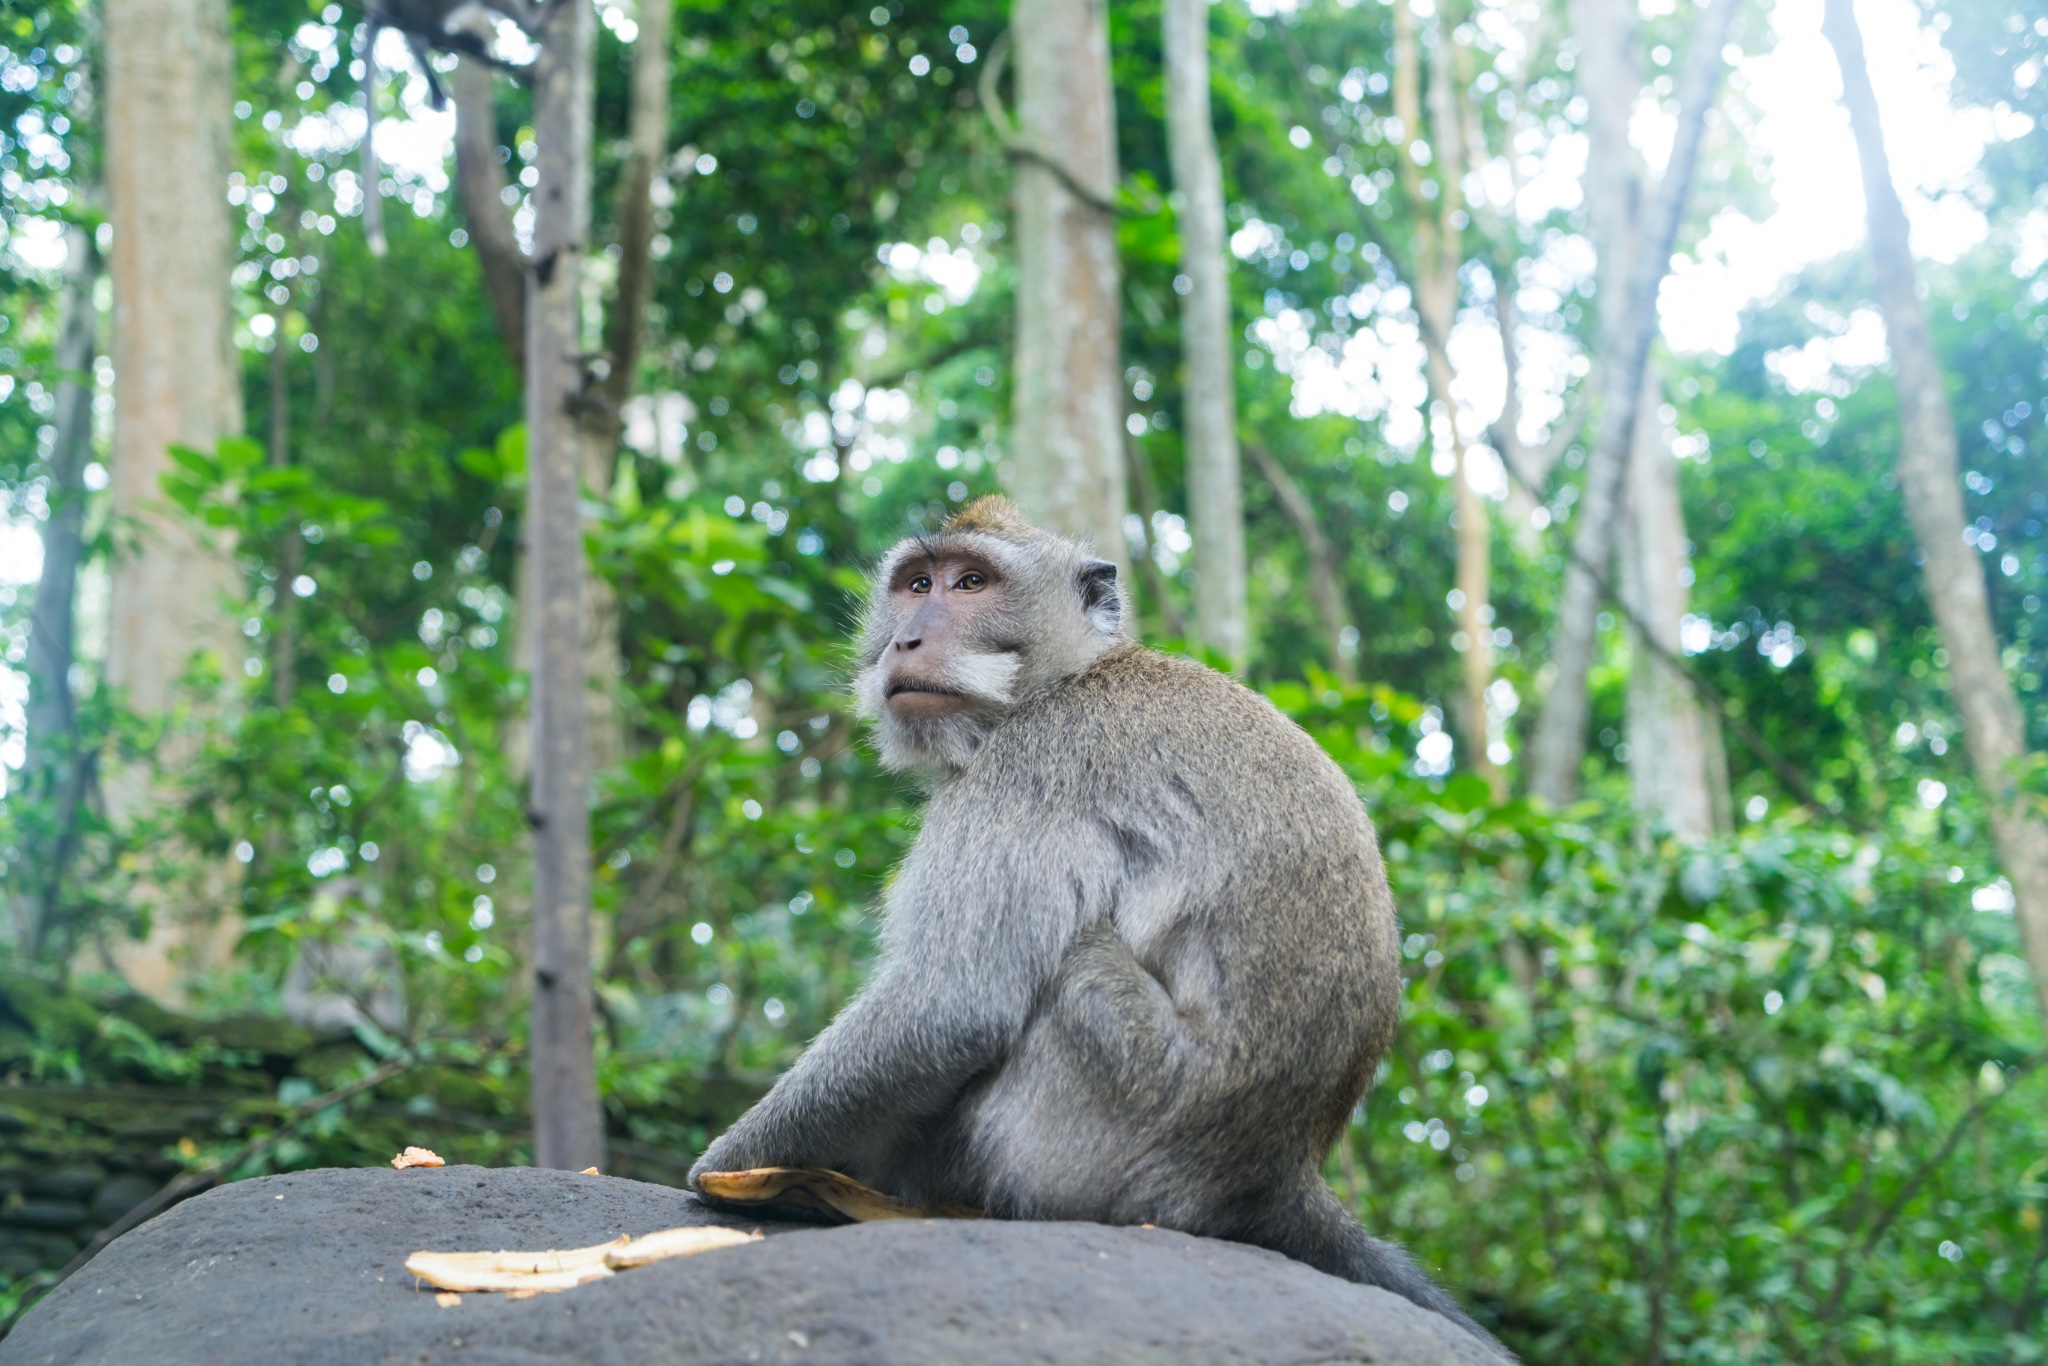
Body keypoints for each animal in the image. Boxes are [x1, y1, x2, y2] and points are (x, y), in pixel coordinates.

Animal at [696, 501, 1515, 1359]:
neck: (1066, 677)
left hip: (1105, 1126)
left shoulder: (1030, 768)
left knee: (1073, 963)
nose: (906, 640)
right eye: (916, 585)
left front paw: (728, 1167)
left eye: (971, 583)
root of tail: (1278, 1174)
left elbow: (950, 1004)